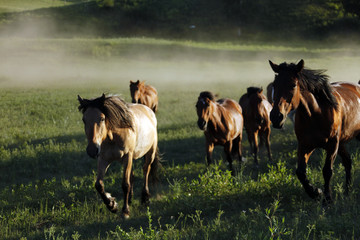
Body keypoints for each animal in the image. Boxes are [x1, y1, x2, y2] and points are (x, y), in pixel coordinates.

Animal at [268, 59, 360, 202]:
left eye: (293, 85)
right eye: (274, 85)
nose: (276, 117)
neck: (317, 113)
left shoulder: (332, 145)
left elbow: (327, 171)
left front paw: (327, 199)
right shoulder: (305, 145)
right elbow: (300, 172)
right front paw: (315, 192)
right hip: (341, 144)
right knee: (348, 162)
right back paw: (346, 192)